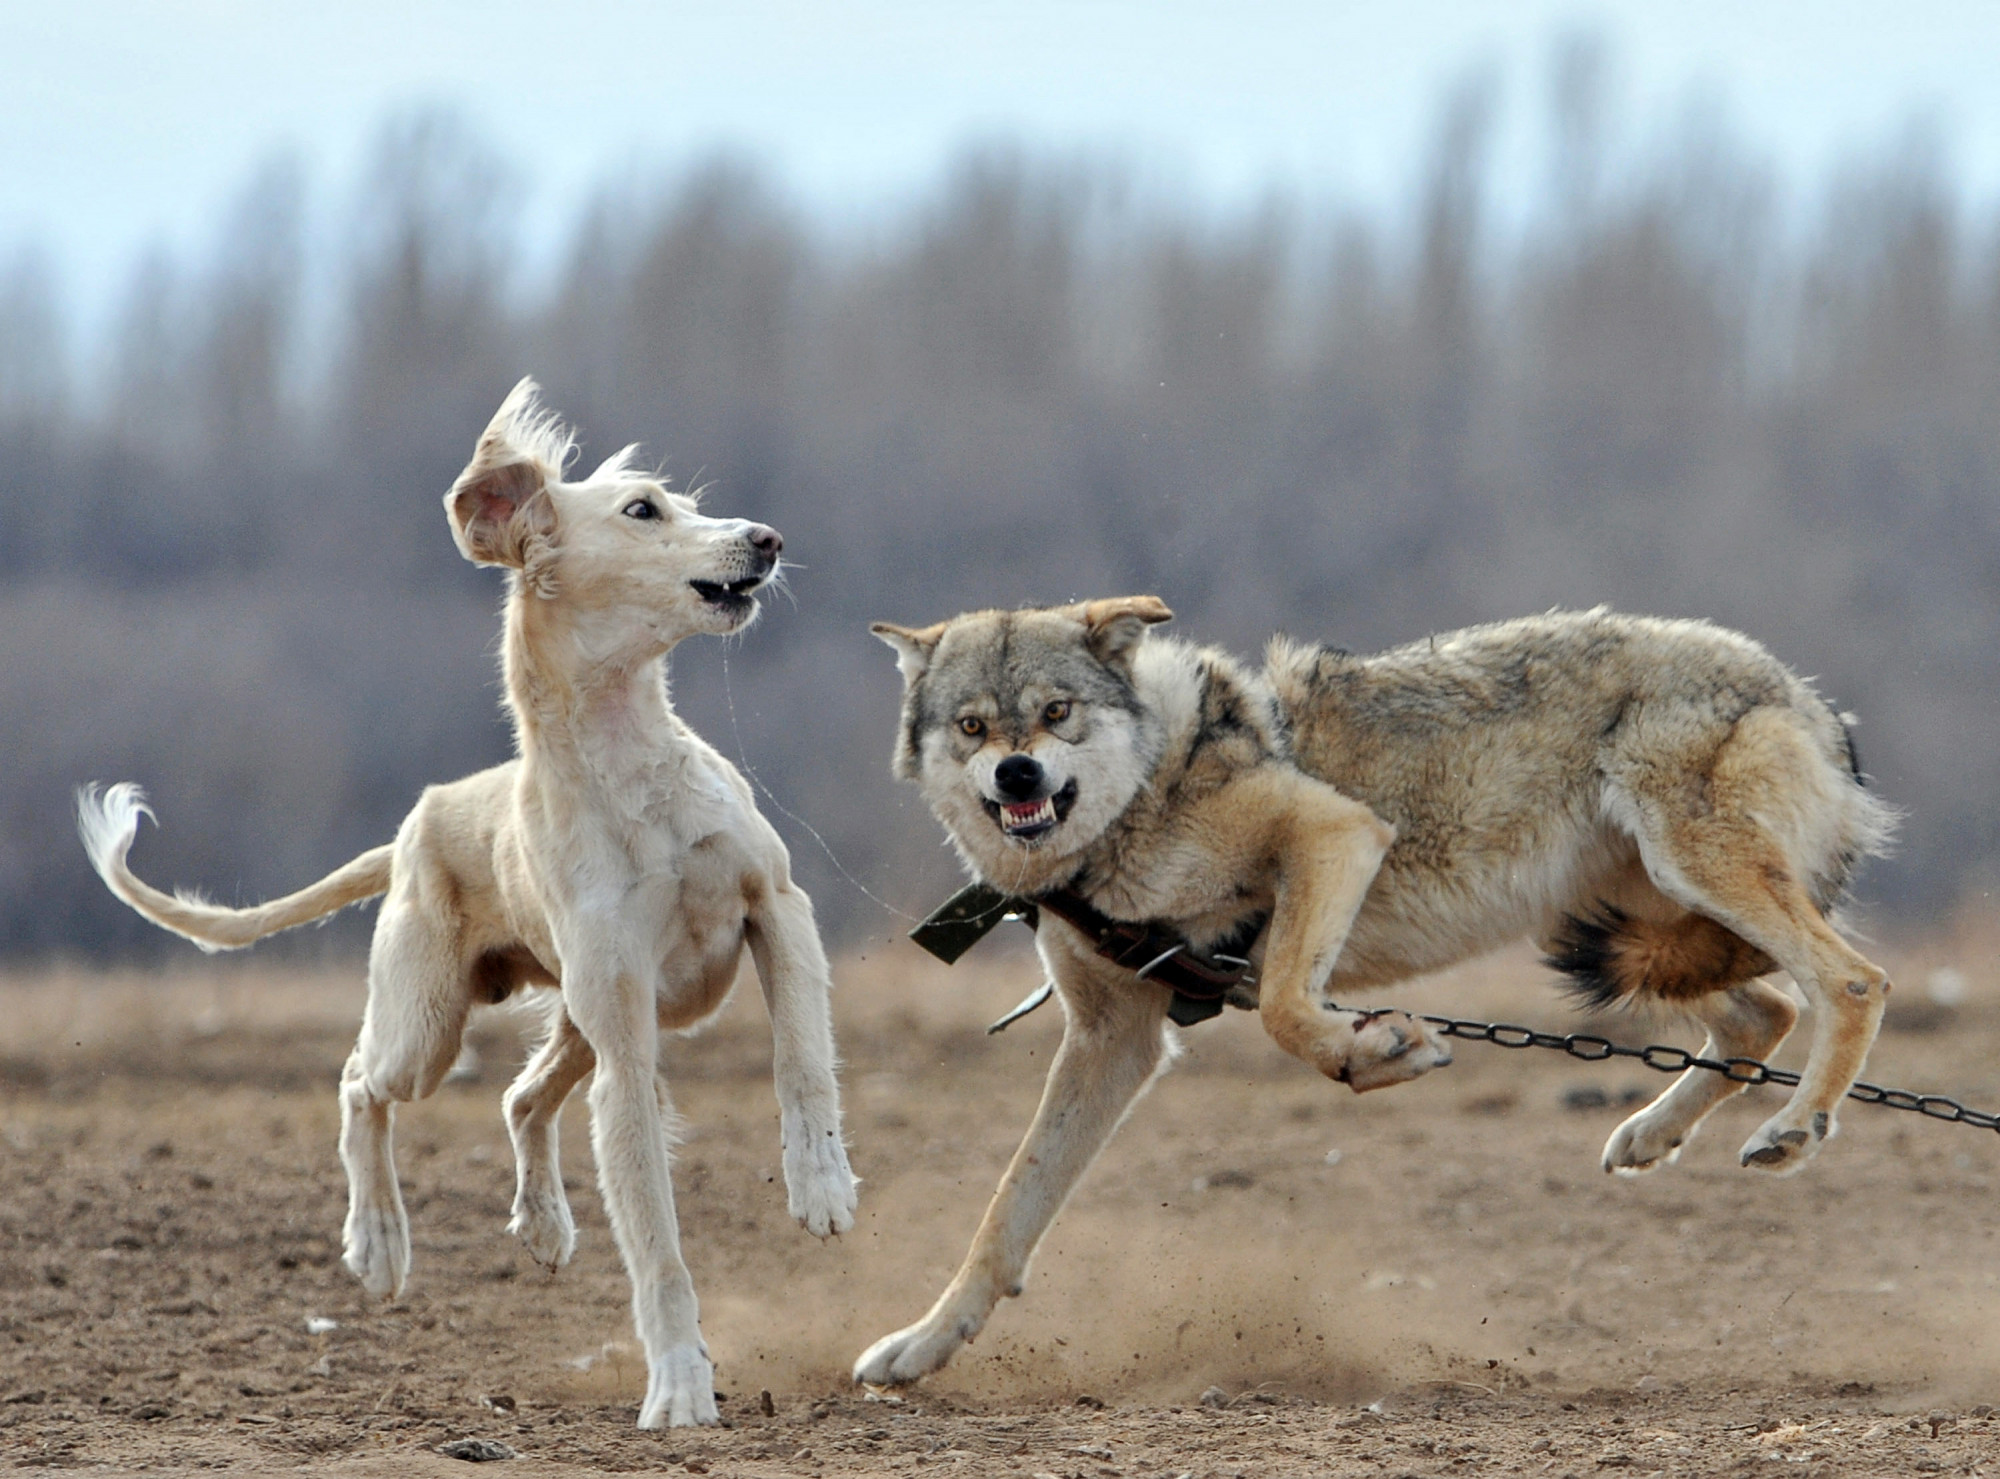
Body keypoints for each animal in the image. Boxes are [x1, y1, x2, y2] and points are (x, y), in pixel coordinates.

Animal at [78, 381, 856, 1431]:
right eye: (643, 510)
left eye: (685, 502)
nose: (766, 540)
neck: (632, 776)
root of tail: (416, 826)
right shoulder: (627, 1047)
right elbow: (656, 1247)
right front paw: (679, 1383)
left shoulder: (777, 909)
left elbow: (802, 1061)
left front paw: (821, 1186)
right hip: (435, 1025)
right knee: (360, 1082)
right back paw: (378, 1241)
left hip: (577, 1014)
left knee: (520, 1096)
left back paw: (544, 1223)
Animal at [856, 595, 1888, 1383]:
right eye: (973, 726)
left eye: (1058, 711)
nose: (1016, 772)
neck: (1134, 810)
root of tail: (1812, 699)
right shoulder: (1115, 1037)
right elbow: (1007, 1212)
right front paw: (922, 1346)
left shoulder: (1334, 835)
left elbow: (1284, 1005)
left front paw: (1380, 1051)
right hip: (1607, 920)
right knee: (1767, 1009)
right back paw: (1652, 1133)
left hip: (1682, 877)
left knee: (1852, 979)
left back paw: (1794, 1128)